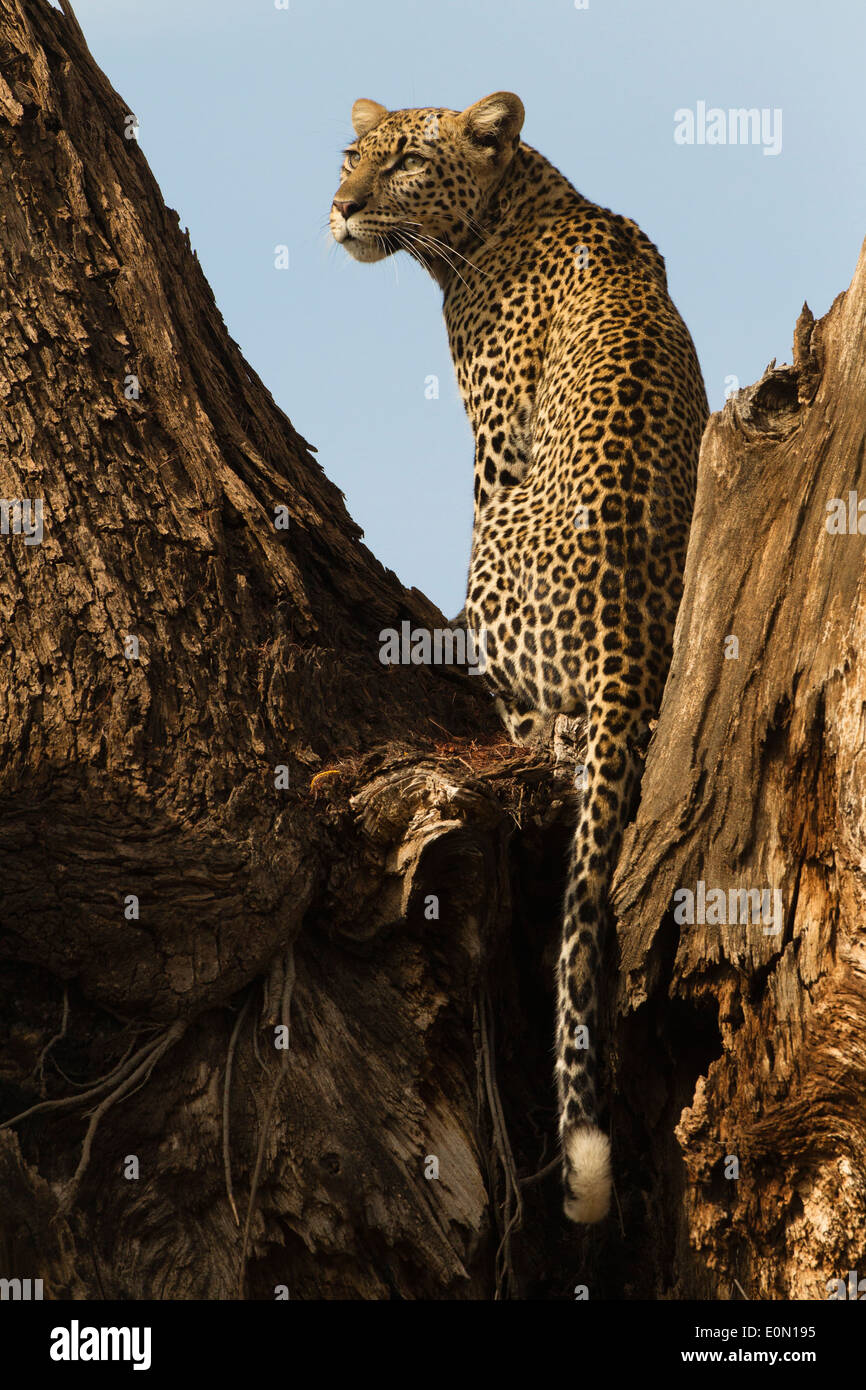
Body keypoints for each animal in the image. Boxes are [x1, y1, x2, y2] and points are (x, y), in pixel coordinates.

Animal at [328, 89, 708, 1217]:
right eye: (350, 153)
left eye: (405, 162)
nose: (339, 207)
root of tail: (632, 645)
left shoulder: (496, 445)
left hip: (493, 554)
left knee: (541, 720)